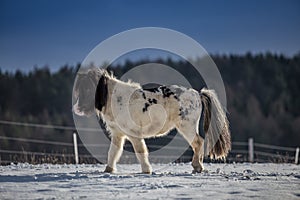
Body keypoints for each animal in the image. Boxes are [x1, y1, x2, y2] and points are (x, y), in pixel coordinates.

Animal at [73, 68, 232, 173]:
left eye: (88, 89)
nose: (77, 109)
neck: (116, 99)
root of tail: (198, 94)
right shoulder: (118, 134)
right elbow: (113, 152)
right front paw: (108, 170)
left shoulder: (134, 135)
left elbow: (140, 151)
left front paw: (146, 170)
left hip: (186, 126)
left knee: (198, 142)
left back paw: (197, 166)